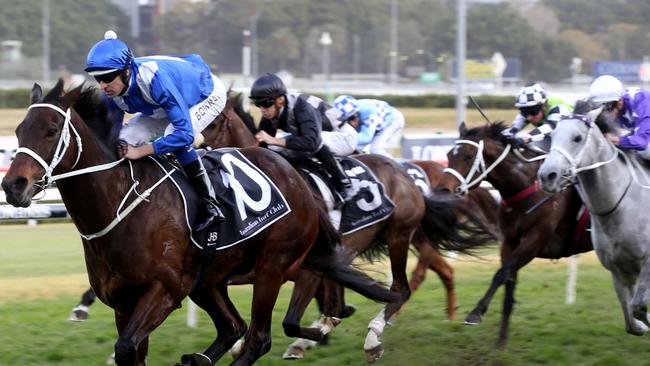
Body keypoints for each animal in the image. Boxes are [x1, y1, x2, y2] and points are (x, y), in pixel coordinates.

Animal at [1, 80, 394, 366]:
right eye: (19, 130)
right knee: (233, 328)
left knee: (257, 338)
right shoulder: (123, 303)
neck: (121, 204)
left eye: (52, 129)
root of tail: (296, 179)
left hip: (272, 267)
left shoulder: (165, 290)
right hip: (209, 279)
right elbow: (130, 351)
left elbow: (126, 348)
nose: (13, 185)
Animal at [200, 93, 494, 362]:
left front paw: (313, 335)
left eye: (213, 123)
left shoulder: (306, 268)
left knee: (402, 288)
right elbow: (329, 304)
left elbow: (296, 319)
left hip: (398, 236)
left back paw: (374, 336)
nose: (202, 155)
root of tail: (406, 174)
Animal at [432, 121, 588, 348]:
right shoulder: (510, 243)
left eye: (468, 156)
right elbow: (508, 284)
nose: (442, 190)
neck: (526, 187)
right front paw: (501, 341)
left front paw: (475, 313)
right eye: (449, 155)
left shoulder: (533, 242)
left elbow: (500, 275)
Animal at [536, 108, 648, 334]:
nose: (547, 176)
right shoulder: (618, 268)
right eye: (552, 135)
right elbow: (632, 319)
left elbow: (639, 307)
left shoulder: (646, 263)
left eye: (577, 138)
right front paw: (640, 326)